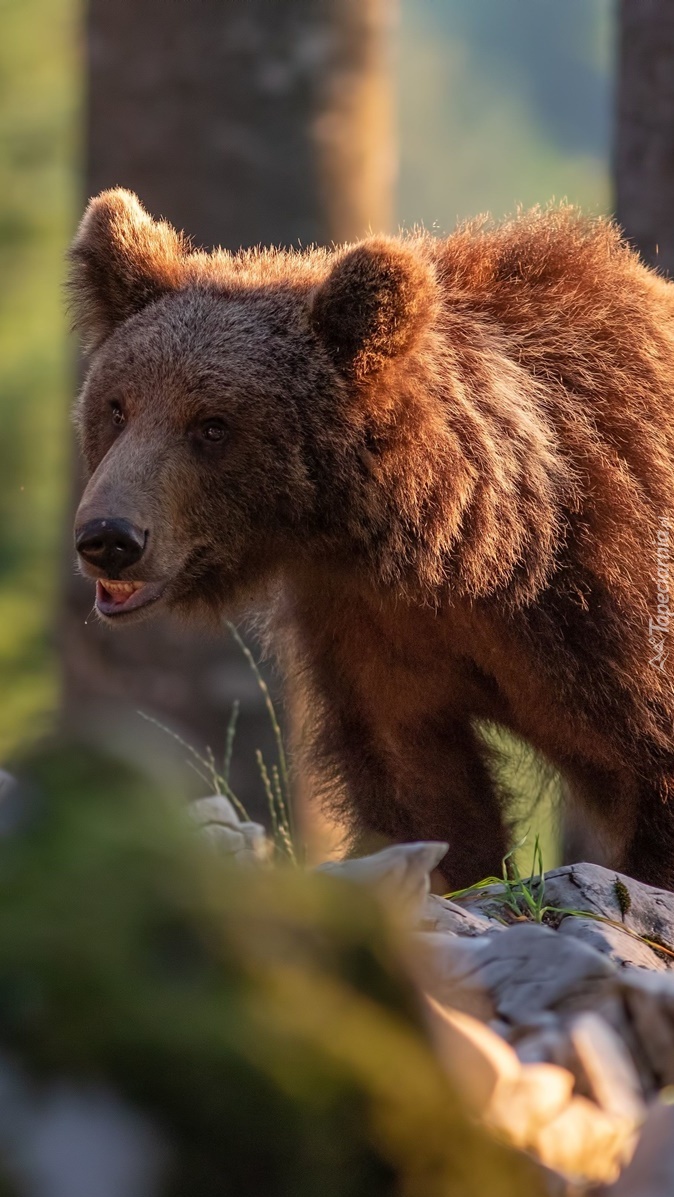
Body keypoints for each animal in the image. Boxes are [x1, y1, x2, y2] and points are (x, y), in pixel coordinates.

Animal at [71, 191, 674, 895]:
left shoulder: (609, 603)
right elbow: (421, 790)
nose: (108, 537)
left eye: (213, 425)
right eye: (117, 406)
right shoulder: (372, 630)